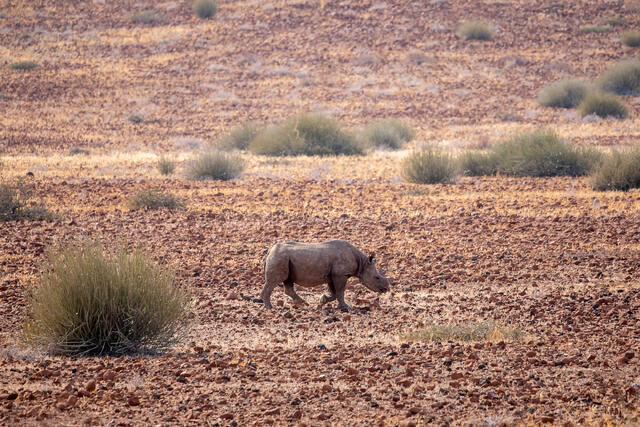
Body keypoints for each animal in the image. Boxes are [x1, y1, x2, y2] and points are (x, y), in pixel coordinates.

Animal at [258, 240, 390, 311]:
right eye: (377, 277)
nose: (386, 289)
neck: (362, 263)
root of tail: (269, 251)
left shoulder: (333, 276)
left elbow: (335, 293)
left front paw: (322, 301)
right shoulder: (341, 274)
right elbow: (340, 292)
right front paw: (346, 307)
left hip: (284, 259)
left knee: (288, 281)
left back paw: (302, 302)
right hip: (279, 258)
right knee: (275, 281)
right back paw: (270, 307)